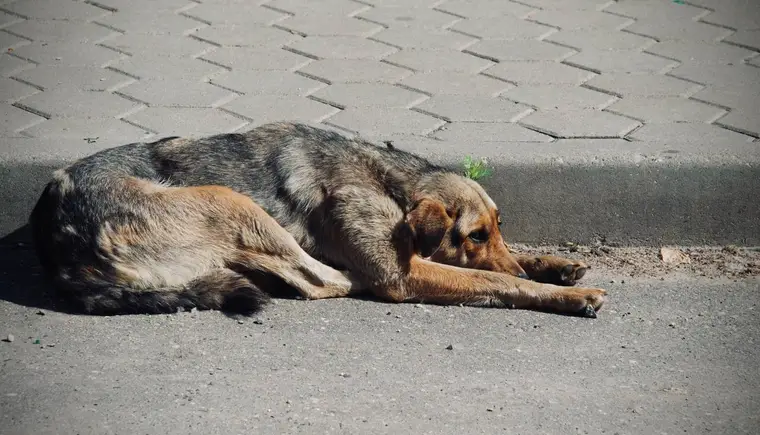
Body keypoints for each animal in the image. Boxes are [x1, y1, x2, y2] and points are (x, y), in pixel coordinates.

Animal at [29, 122, 608, 316]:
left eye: (499, 227)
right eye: (473, 235)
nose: (520, 265)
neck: (390, 182)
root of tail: (59, 243)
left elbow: (512, 266)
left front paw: (553, 265)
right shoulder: (400, 274)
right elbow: (492, 280)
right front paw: (561, 292)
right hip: (230, 201)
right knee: (319, 280)